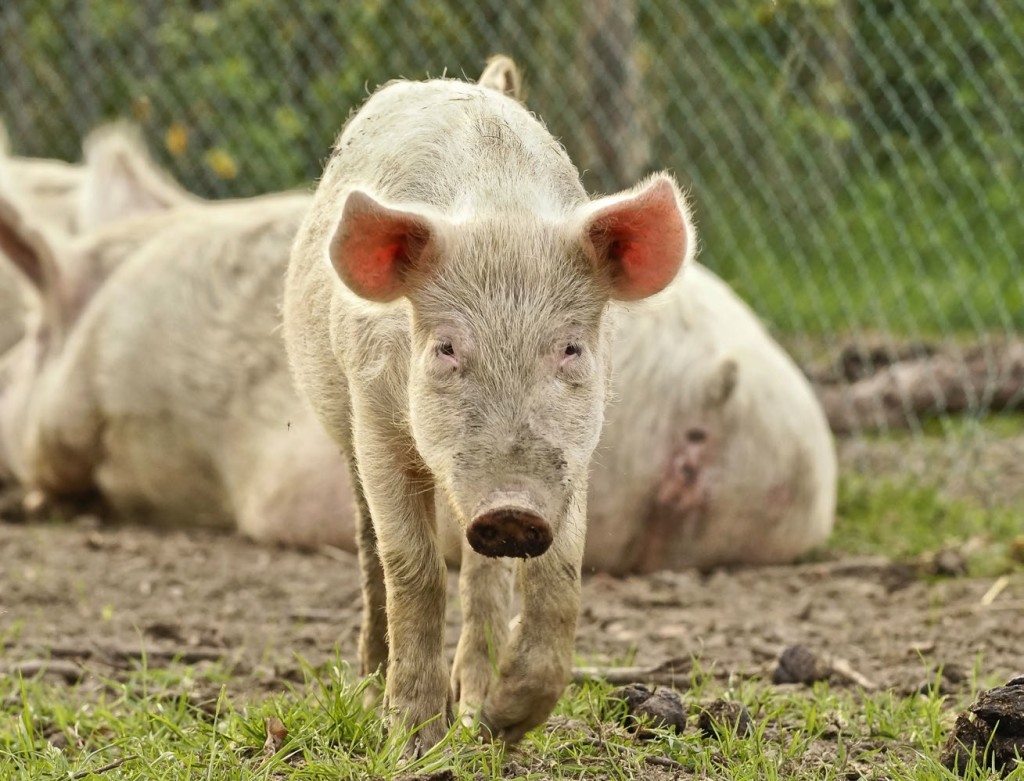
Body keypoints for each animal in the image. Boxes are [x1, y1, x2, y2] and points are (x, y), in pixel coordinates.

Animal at [280, 74, 696, 753]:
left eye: (571, 348)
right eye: (447, 348)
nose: (511, 510)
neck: (502, 211)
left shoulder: (573, 454)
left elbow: (559, 579)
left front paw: (500, 728)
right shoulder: (373, 415)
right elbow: (414, 570)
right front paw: (413, 744)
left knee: (483, 577)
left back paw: (473, 710)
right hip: (343, 428)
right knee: (371, 550)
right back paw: (370, 692)